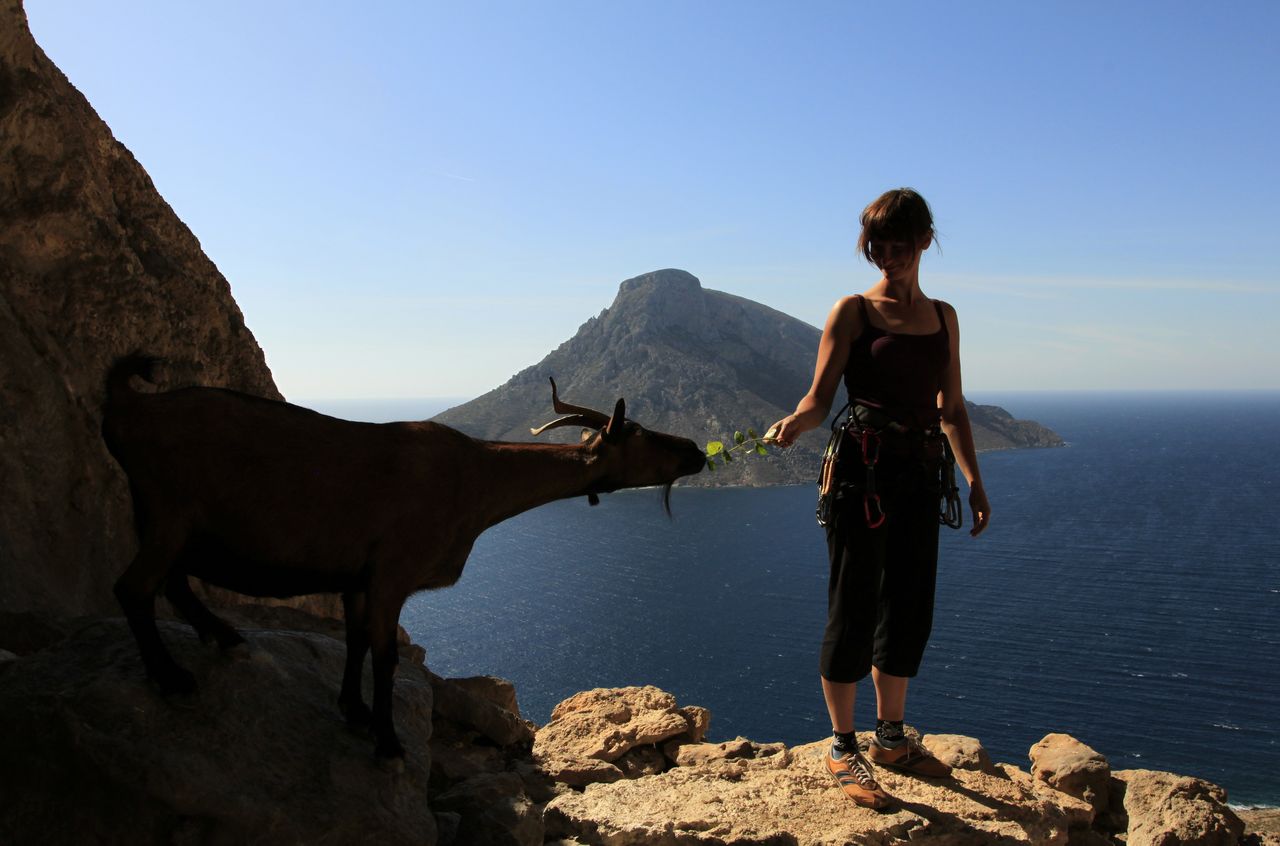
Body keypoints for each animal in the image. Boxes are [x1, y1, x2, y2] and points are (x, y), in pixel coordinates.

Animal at [99, 353, 706, 762]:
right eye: (640, 432)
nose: (697, 452)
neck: (474, 480)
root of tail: (129, 408)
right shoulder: (393, 568)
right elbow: (386, 654)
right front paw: (388, 741)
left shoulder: (356, 576)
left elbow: (355, 641)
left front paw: (355, 710)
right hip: (171, 510)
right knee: (135, 586)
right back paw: (172, 676)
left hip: (163, 518)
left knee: (171, 582)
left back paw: (221, 636)